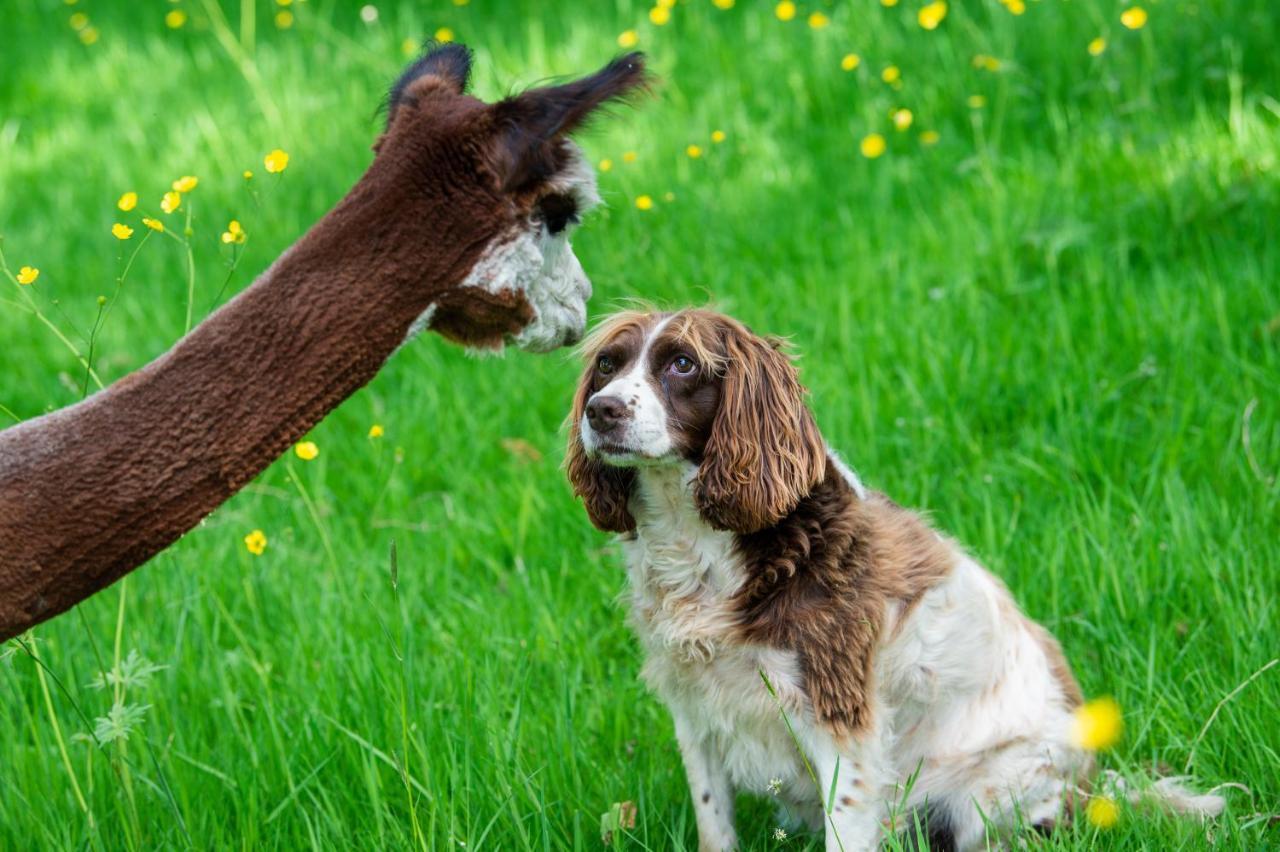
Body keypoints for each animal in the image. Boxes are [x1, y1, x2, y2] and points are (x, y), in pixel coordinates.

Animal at [565, 308, 1223, 844]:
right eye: (607, 365)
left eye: (682, 364)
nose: (601, 411)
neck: (702, 545)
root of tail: (1095, 782)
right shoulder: (694, 710)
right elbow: (714, 822)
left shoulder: (839, 721)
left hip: (986, 793)